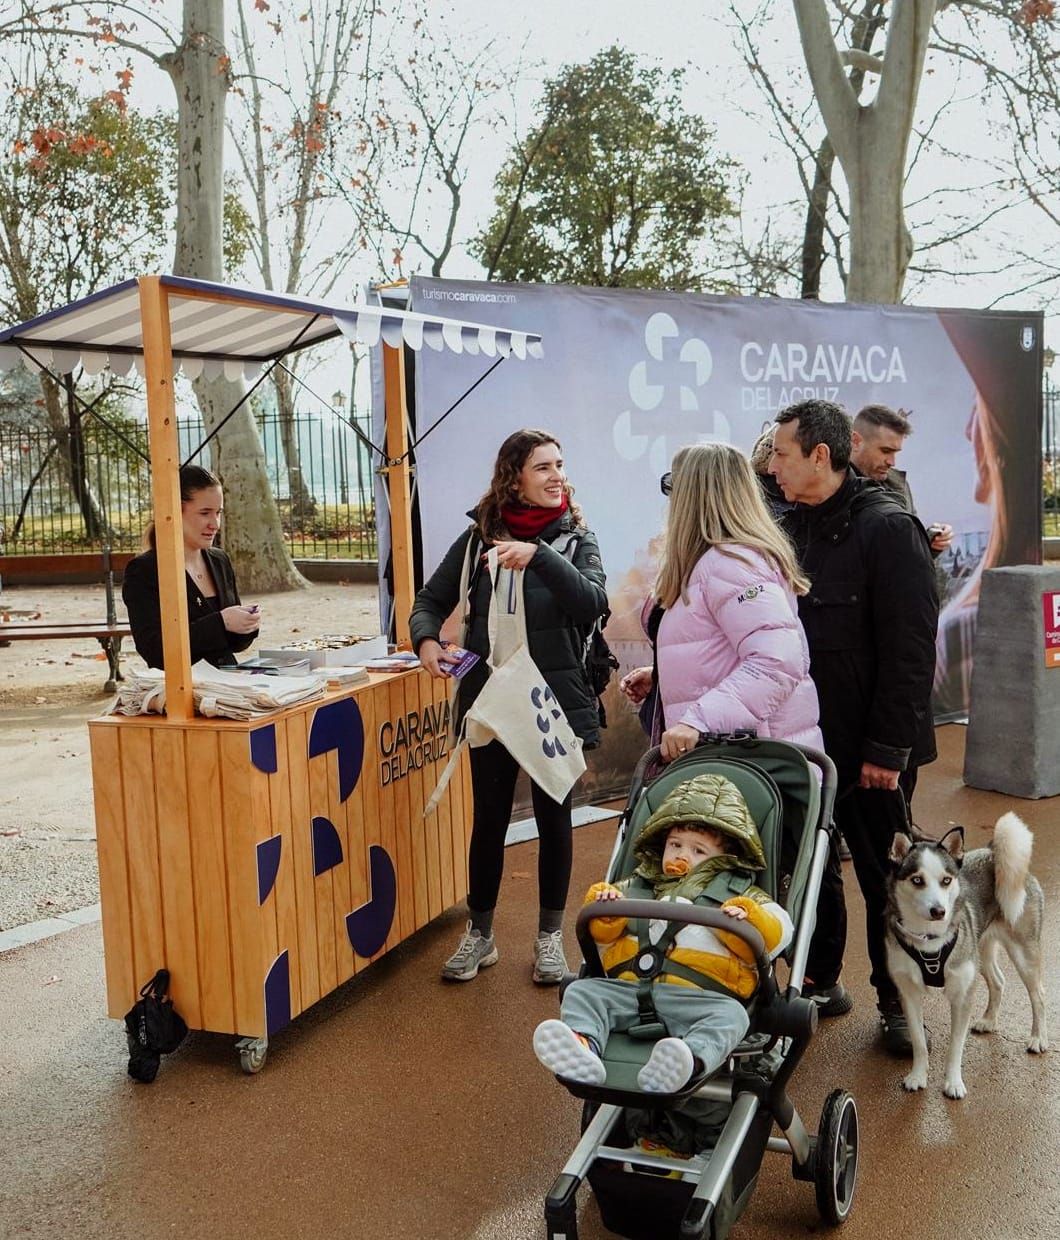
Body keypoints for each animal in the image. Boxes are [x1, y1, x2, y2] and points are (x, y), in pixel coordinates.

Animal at [882, 818, 1046, 1101]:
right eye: (917, 880)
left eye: (946, 880)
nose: (939, 911)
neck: (928, 937)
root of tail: (992, 852)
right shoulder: (909, 994)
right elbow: (918, 1041)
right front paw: (918, 1076)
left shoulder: (962, 995)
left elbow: (955, 1047)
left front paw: (953, 1083)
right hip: (981, 950)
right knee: (999, 981)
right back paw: (989, 1021)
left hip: (1023, 953)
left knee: (1039, 995)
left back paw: (1038, 1038)